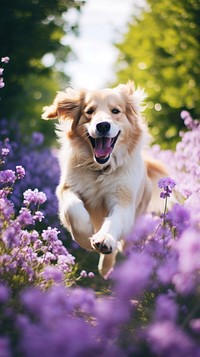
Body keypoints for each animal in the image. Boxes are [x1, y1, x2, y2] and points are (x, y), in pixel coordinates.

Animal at [42, 82, 167, 276]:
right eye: (89, 111)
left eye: (115, 111)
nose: (102, 126)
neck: (100, 169)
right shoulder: (66, 188)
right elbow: (73, 209)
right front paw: (86, 237)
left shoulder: (124, 201)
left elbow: (114, 221)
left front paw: (104, 239)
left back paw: (108, 265)